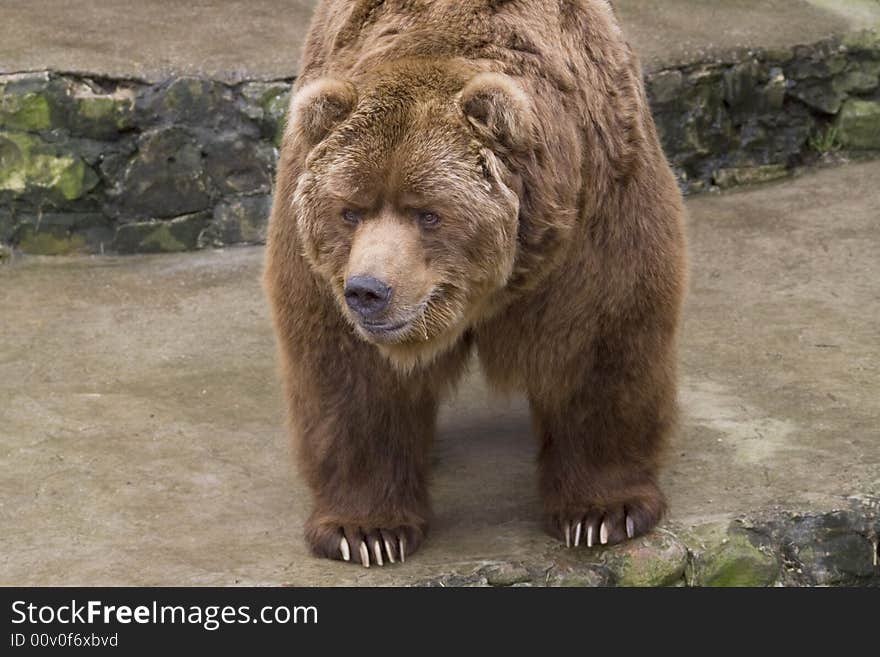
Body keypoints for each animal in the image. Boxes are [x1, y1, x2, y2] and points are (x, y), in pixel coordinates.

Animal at [262, 0, 688, 568]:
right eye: (350, 210)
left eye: (428, 213)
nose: (368, 291)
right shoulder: (318, 268)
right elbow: (350, 374)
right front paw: (366, 531)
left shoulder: (596, 215)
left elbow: (598, 343)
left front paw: (603, 513)